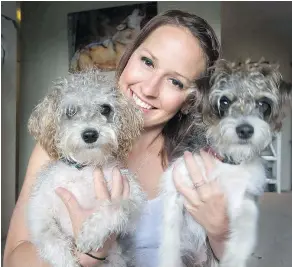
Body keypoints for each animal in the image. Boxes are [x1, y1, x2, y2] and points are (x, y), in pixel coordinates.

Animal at [27, 70, 146, 267]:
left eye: (105, 109)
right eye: (70, 111)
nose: (90, 134)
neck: (84, 170)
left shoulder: (133, 203)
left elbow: (115, 207)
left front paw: (91, 234)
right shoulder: (39, 214)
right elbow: (51, 239)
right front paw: (67, 261)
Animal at [159, 59, 290, 267]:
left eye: (263, 103)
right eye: (224, 101)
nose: (245, 130)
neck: (227, 162)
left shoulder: (245, 197)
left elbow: (247, 225)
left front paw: (235, 257)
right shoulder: (176, 189)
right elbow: (170, 240)